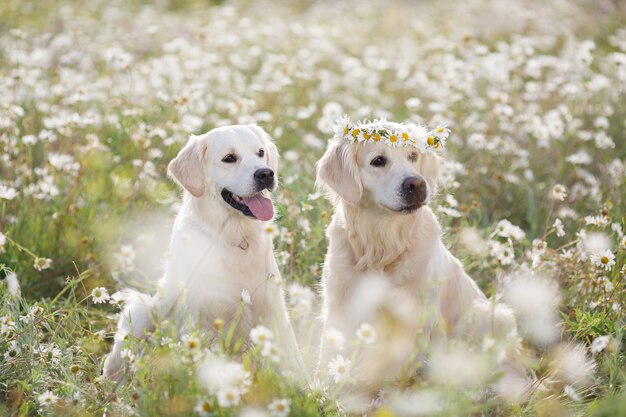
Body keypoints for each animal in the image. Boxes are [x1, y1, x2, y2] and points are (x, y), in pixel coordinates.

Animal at [102, 125, 304, 382]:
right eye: (229, 158)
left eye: (260, 152)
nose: (266, 174)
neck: (235, 238)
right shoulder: (201, 315)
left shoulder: (273, 306)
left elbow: (292, 358)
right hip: (140, 310)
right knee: (116, 361)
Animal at [314, 115, 528, 408]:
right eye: (378, 160)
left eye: (413, 156)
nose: (417, 184)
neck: (381, 247)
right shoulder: (339, 304)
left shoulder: (415, 316)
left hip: (489, 314)